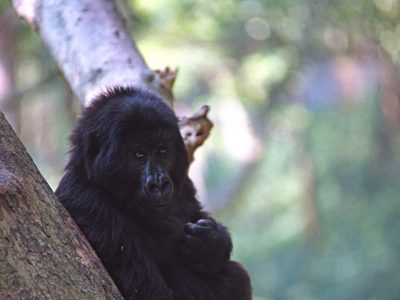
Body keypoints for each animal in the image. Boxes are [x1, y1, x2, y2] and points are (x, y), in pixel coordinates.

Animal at [55, 87, 250, 300]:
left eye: (163, 150)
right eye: (138, 154)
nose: (159, 184)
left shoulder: (184, 184)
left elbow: (198, 215)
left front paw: (212, 243)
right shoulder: (92, 207)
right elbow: (150, 291)